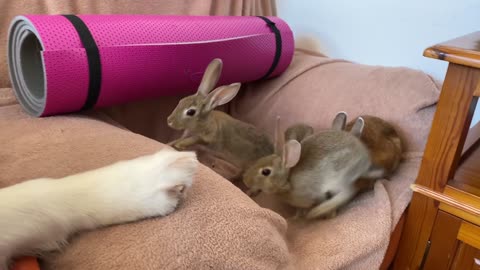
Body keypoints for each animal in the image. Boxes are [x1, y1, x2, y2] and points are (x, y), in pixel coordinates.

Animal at [242, 114, 374, 219]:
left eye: (266, 172)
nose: (245, 181)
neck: (288, 180)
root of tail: (365, 158)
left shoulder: (315, 193)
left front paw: (300, 216)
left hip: (340, 176)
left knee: (349, 191)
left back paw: (318, 212)